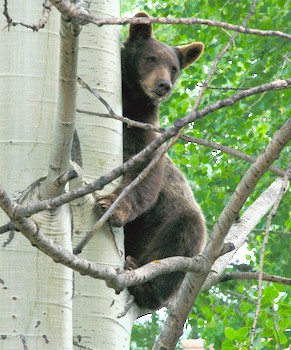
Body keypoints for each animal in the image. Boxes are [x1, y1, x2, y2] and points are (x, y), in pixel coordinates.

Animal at [98, 12, 208, 310]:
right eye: (150, 58)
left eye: (174, 68)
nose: (163, 85)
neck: (130, 101)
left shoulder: (146, 129)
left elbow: (145, 173)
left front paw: (112, 205)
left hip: (167, 221)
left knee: (184, 235)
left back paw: (143, 281)